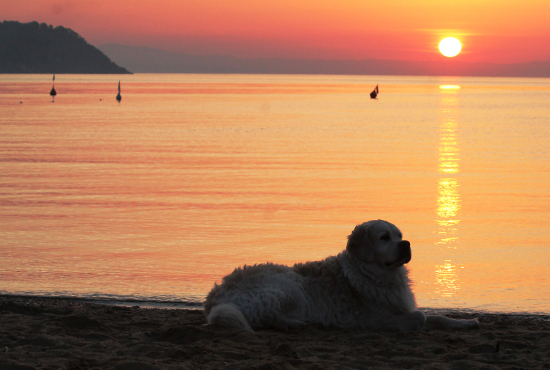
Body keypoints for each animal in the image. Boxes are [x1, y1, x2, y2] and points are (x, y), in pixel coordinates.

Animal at [205, 220, 480, 332]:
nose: (407, 244)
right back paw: (294, 324)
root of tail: (214, 298)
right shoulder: (376, 319)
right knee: (265, 316)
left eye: (400, 235)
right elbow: (421, 317)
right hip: (288, 286)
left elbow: (437, 317)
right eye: (384, 237)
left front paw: (466, 323)